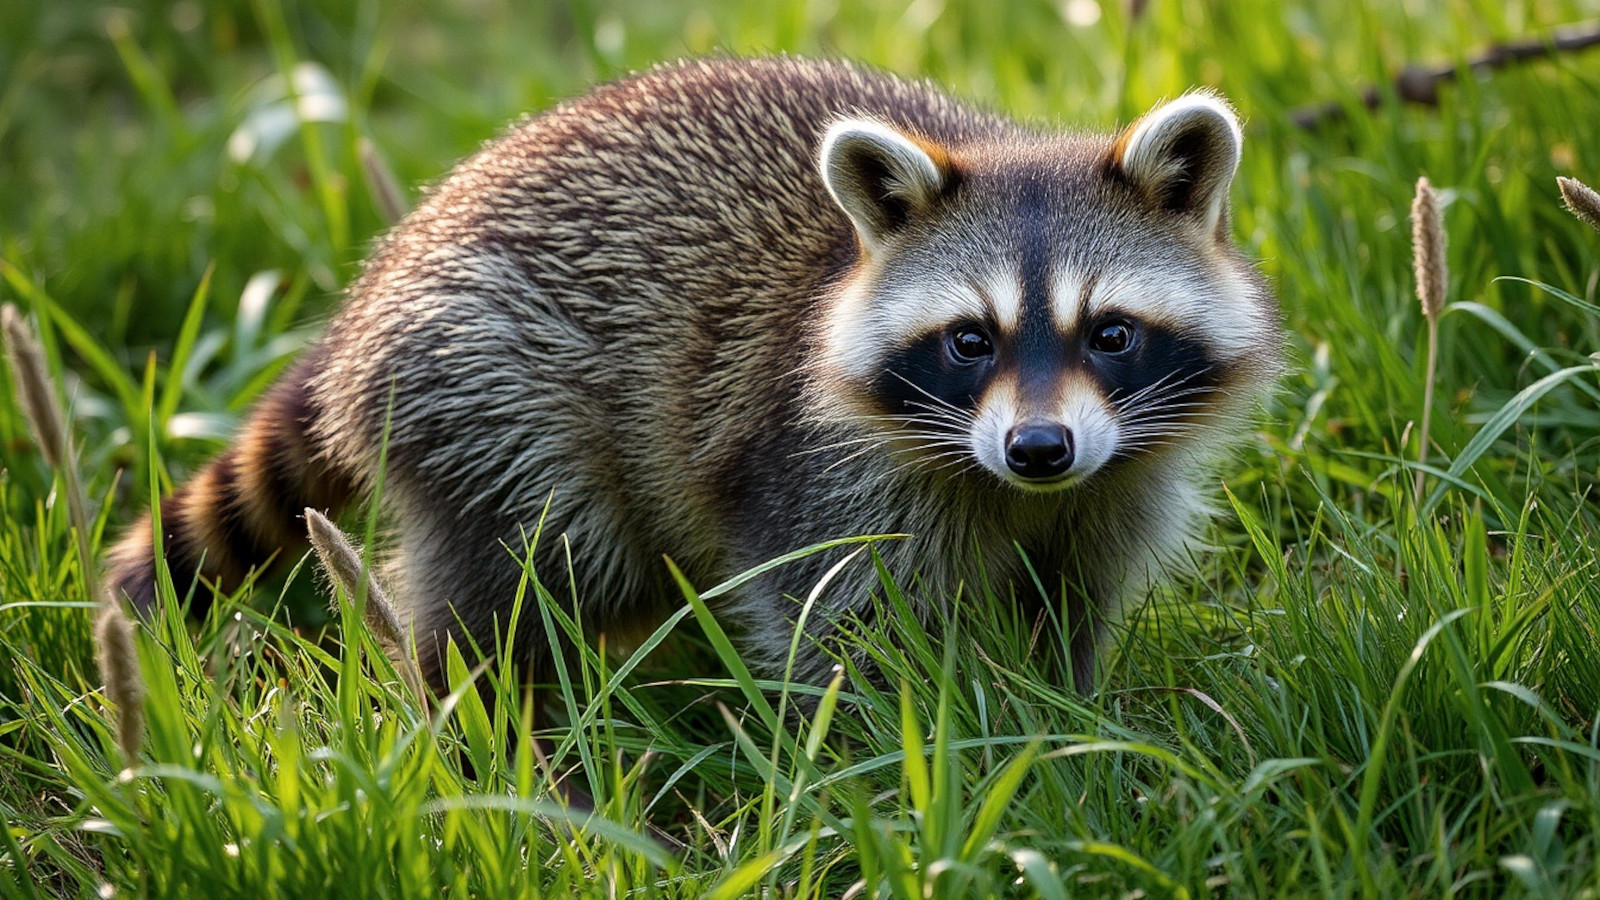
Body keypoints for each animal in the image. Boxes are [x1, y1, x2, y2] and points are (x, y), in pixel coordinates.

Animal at [106, 57, 1281, 695]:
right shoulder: (818, 470)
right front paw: (891, 748)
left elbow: (1071, 605)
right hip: (484, 394)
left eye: (1110, 334)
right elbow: (838, 625)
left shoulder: (1117, 479)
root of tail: (380, 279)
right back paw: (493, 730)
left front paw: (1061, 718)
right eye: (969, 341)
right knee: (531, 575)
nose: (1039, 449)